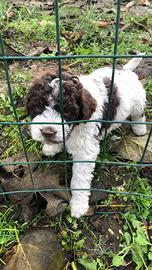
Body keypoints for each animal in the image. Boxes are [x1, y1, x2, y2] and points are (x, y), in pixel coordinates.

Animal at [26, 57, 147, 219]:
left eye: (67, 111)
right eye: (38, 107)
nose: (48, 132)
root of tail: (125, 70)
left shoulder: (85, 152)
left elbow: (79, 180)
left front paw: (79, 205)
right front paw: (51, 147)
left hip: (138, 101)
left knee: (139, 114)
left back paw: (140, 129)